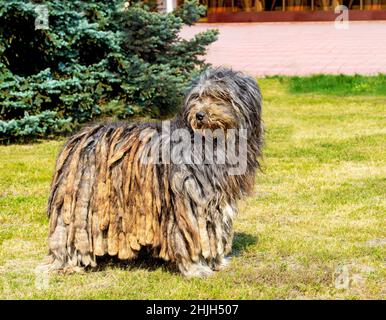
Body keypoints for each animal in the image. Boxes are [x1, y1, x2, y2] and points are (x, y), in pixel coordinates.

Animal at [44, 68, 262, 278]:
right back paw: (68, 264)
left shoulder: (216, 200)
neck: (212, 143)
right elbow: (191, 237)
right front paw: (196, 268)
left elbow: (213, 231)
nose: (199, 115)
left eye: (220, 96)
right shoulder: (188, 201)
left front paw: (217, 262)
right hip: (79, 202)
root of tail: (78, 137)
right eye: (197, 97)